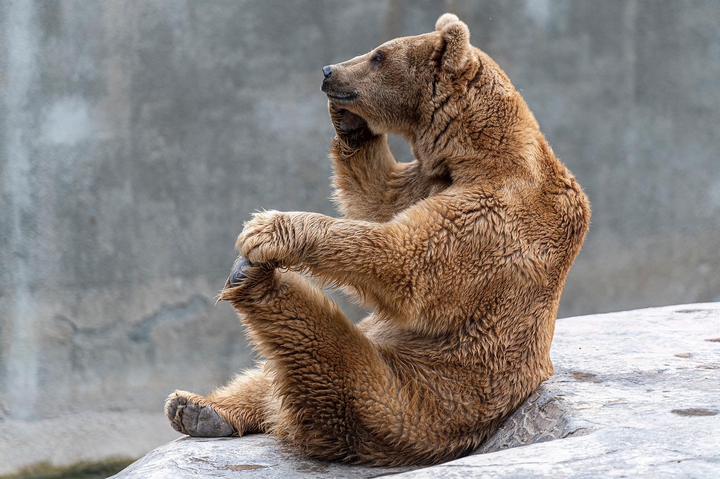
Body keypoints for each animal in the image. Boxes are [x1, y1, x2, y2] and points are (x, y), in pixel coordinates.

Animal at [165, 13, 590, 467]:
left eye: (379, 55)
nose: (328, 70)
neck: (476, 152)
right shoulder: (428, 181)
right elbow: (378, 198)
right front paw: (348, 122)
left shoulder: (496, 219)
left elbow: (405, 261)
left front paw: (267, 229)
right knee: (269, 377)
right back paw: (198, 408)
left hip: (407, 399)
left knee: (323, 350)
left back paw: (252, 280)